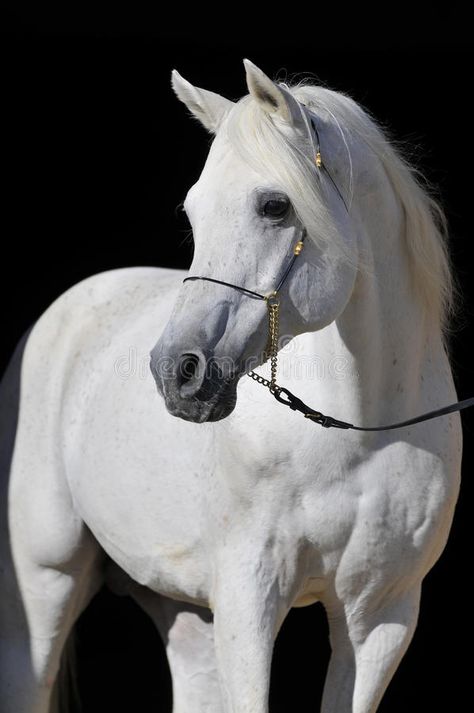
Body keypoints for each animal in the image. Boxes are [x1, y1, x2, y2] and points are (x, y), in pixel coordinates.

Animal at [0, 61, 460, 712]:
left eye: (274, 205)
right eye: (192, 214)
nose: (177, 372)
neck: (358, 434)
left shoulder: (379, 619)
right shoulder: (249, 601)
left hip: (185, 611)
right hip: (44, 584)